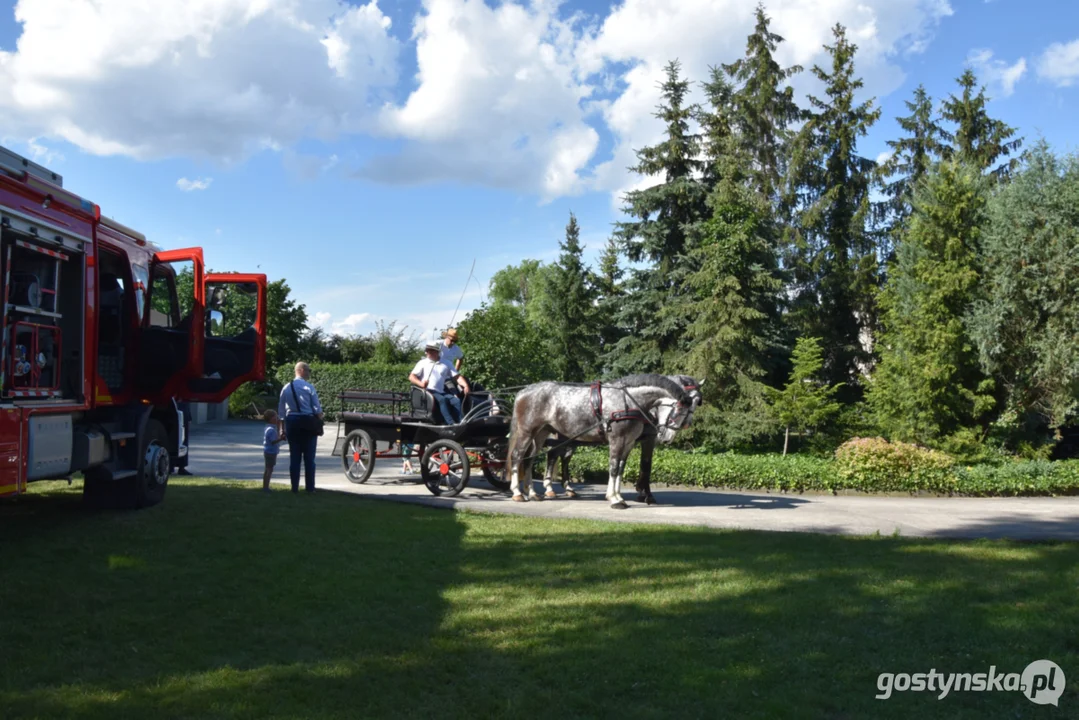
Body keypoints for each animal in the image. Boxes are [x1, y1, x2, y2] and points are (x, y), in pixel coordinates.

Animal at [504, 375, 690, 509]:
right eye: (677, 412)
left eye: (688, 413)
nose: (666, 438)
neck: (628, 401)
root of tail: (523, 392)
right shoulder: (617, 440)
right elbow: (613, 468)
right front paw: (613, 499)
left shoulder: (628, 442)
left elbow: (620, 469)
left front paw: (620, 497)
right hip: (527, 432)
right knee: (517, 456)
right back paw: (517, 493)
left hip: (540, 434)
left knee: (530, 460)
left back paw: (532, 493)